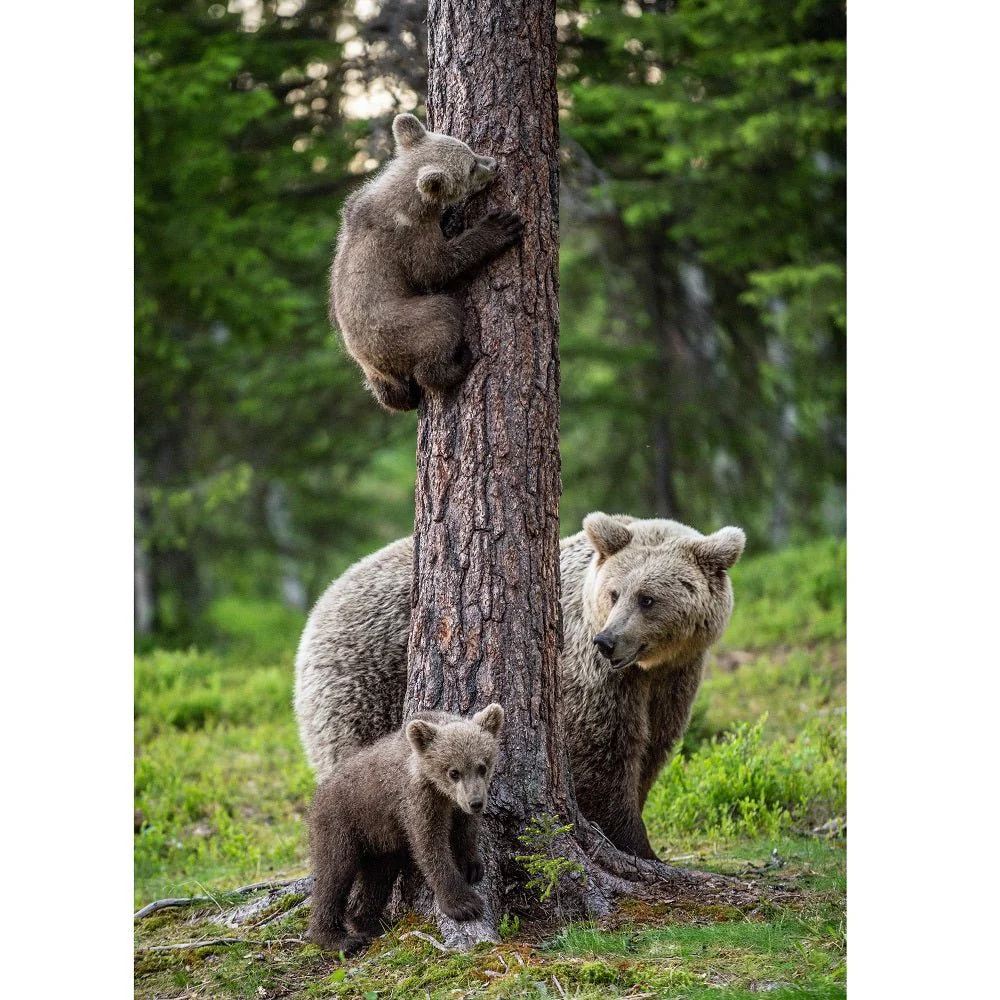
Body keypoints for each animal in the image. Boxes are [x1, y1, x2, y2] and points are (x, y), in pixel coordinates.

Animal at [294, 514, 744, 861]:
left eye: (648, 599)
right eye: (615, 593)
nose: (608, 641)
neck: (649, 667)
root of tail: (322, 603)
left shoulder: (674, 677)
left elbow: (653, 745)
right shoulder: (589, 672)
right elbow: (605, 750)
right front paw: (635, 843)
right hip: (363, 680)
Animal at [308, 703, 504, 956]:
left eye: (482, 766)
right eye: (453, 772)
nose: (476, 802)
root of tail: (318, 794)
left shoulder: (455, 806)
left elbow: (466, 830)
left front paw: (472, 865)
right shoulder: (417, 800)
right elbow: (430, 846)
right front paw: (464, 904)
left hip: (380, 840)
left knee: (378, 877)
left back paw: (371, 922)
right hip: (340, 823)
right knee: (334, 874)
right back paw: (336, 937)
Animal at [330, 112, 524, 412]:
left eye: (469, 149)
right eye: (470, 168)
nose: (493, 164)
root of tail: (375, 363)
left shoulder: (354, 205)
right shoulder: (409, 237)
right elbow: (435, 268)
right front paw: (499, 226)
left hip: (373, 372)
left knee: (390, 395)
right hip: (403, 327)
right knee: (441, 320)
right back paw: (459, 362)